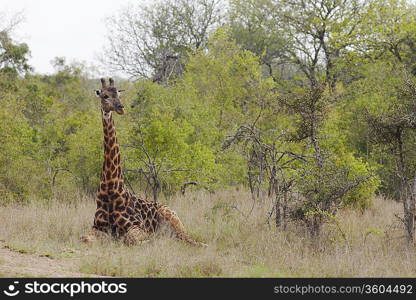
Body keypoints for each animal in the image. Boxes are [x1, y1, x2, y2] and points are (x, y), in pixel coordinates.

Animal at [80, 78, 206, 247]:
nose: (121, 108)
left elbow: (130, 239)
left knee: (190, 239)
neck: (110, 188)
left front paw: (148, 241)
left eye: (118, 93)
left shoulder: (137, 226)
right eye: (105, 96)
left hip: (173, 219)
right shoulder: (97, 226)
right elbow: (84, 238)